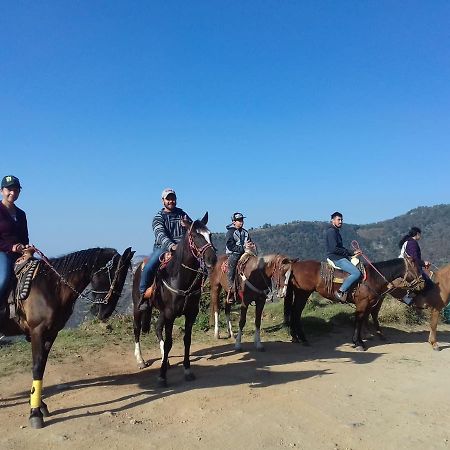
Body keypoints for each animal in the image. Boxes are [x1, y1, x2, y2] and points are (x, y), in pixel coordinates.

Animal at [0, 248, 134, 428]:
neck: (51, 286)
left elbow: (41, 368)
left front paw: (40, 405)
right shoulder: (37, 332)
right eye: (113, 275)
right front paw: (35, 413)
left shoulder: (51, 333)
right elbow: (36, 367)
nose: (105, 313)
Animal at [131, 213, 217, 384]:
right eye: (195, 236)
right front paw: (162, 376)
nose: (212, 259)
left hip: (162, 313)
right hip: (138, 308)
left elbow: (187, 340)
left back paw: (165, 359)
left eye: (209, 234)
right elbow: (170, 342)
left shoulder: (190, 314)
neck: (178, 278)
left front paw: (187, 370)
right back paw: (141, 360)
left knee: (157, 328)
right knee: (137, 330)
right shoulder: (170, 315)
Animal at [284, 256, 422, 352]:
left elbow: (363, 320)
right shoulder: (362, 303)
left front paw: (360, 340)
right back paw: (303, 338)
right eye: (415, 266)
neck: (373, 277)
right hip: (303, 293)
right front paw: (358, 343)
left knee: (294, 312)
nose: (422, 282)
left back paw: (296, 337)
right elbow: (358, 321)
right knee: (296, 313)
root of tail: (295, 264)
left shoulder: (368, 304)